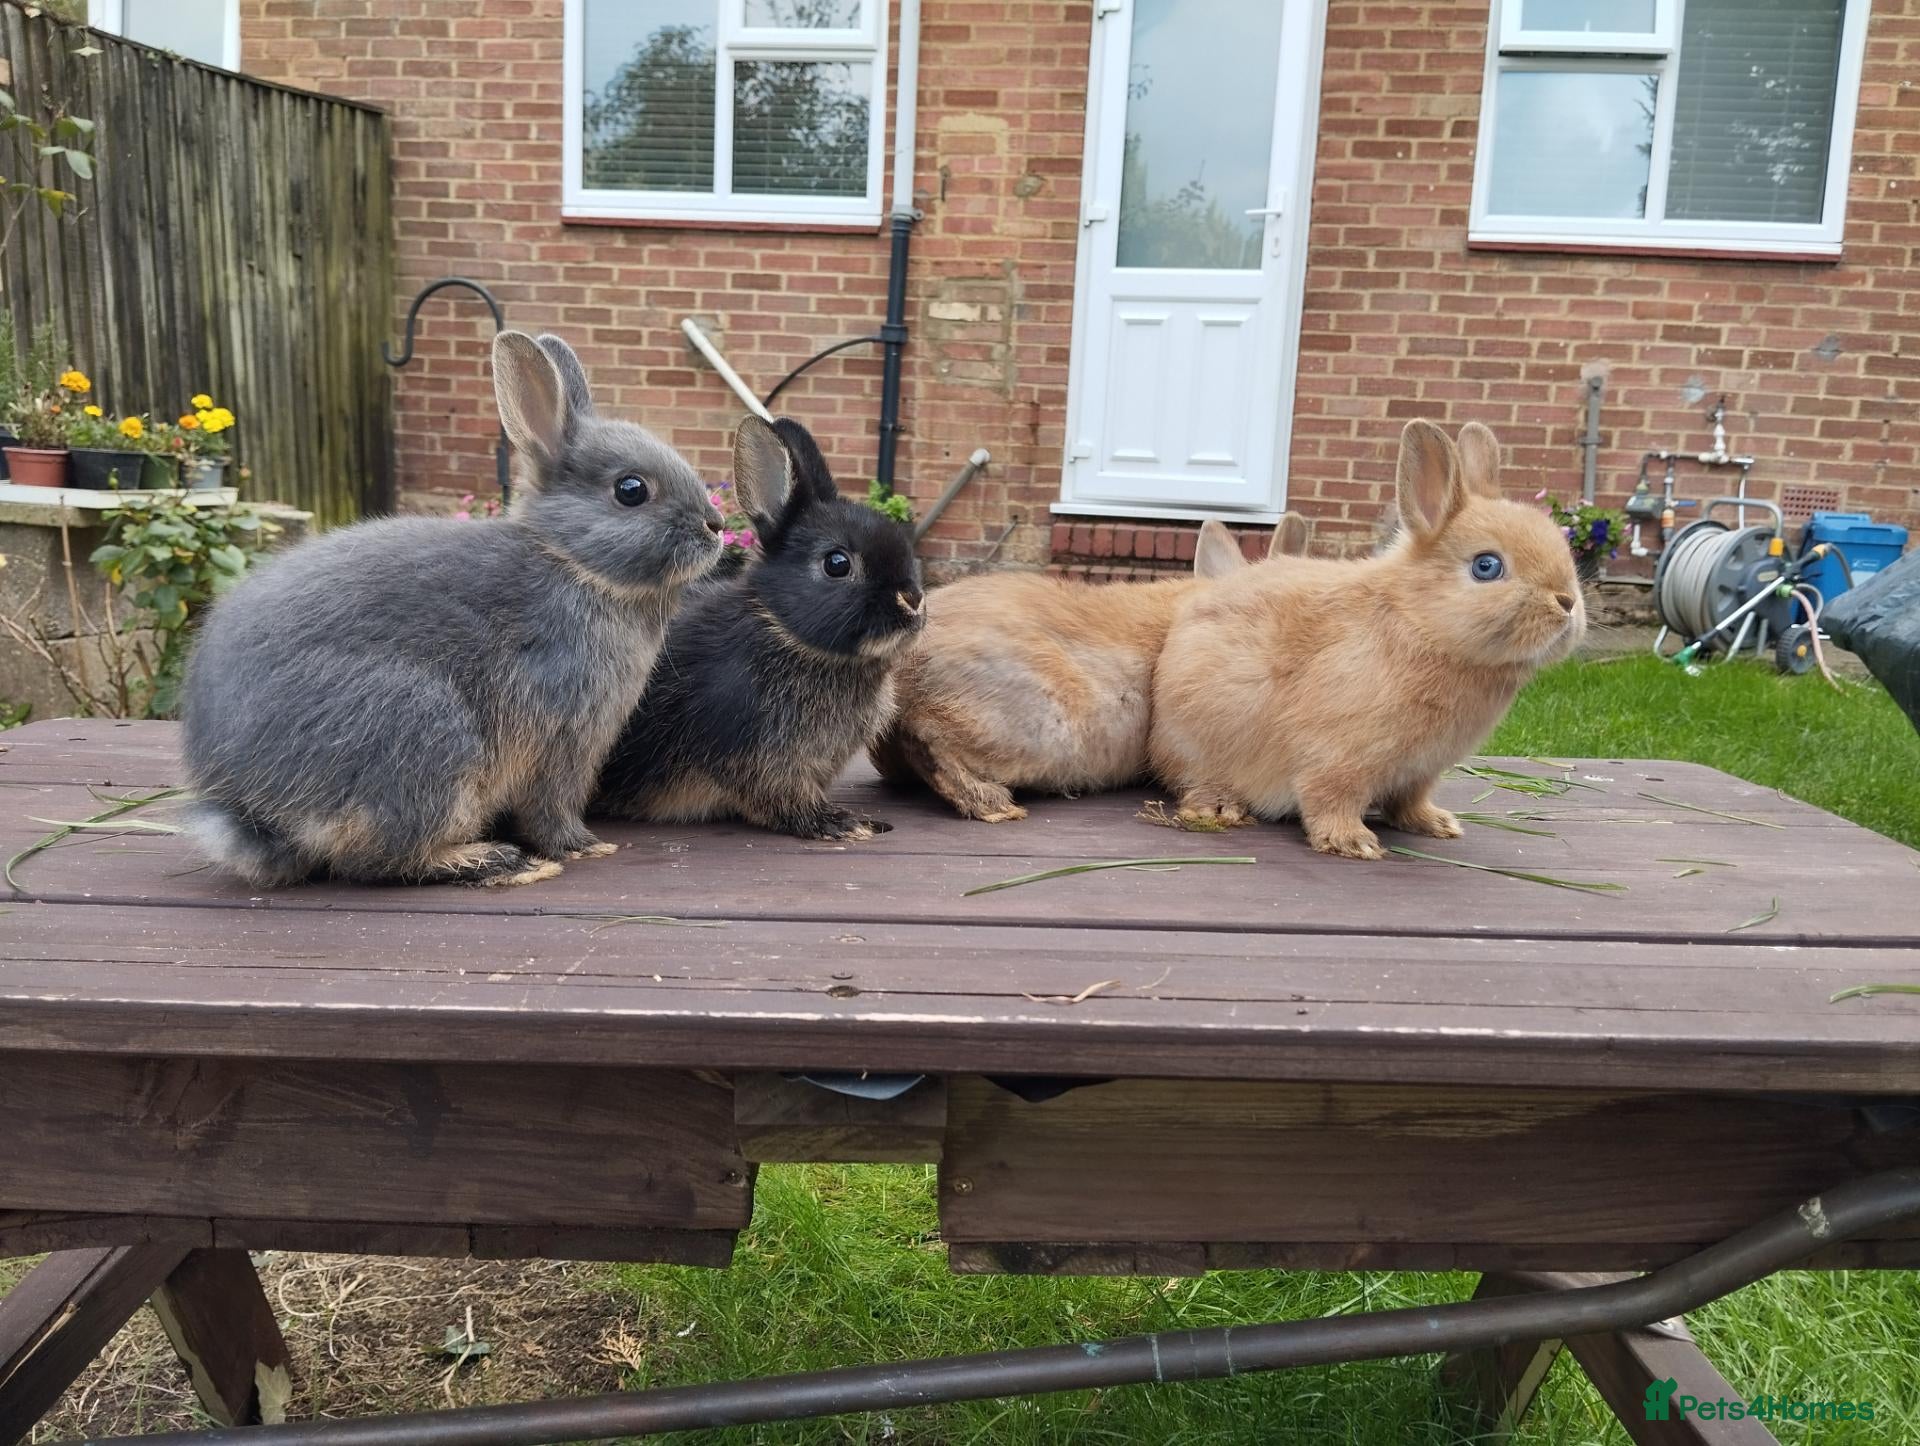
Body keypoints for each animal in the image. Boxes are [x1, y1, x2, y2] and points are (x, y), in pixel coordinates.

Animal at [180, 331, 726, 887]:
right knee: (373, 858)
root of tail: (256, 812)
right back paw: (493, 859)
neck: (572, 562)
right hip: (424, 733)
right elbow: (549, 808)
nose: (716, 526)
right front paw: (582, 847)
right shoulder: (565, 738)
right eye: (631, 490)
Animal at [591, 413, 925, 841]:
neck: (784, 631)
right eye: (837, 563)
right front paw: (841, 823)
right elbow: (780, 796)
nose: (912, 599)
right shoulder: (756, 752)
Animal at [1148, 420, 1586, 859]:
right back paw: (1219, 806)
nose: (1567, 602)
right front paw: (1353, 842)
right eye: (1487, 566)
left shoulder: (1420, 772)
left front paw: (1437, 824)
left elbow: (1410, 801)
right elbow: (1329, 796)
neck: (1418, 624)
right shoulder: (1338, 755)